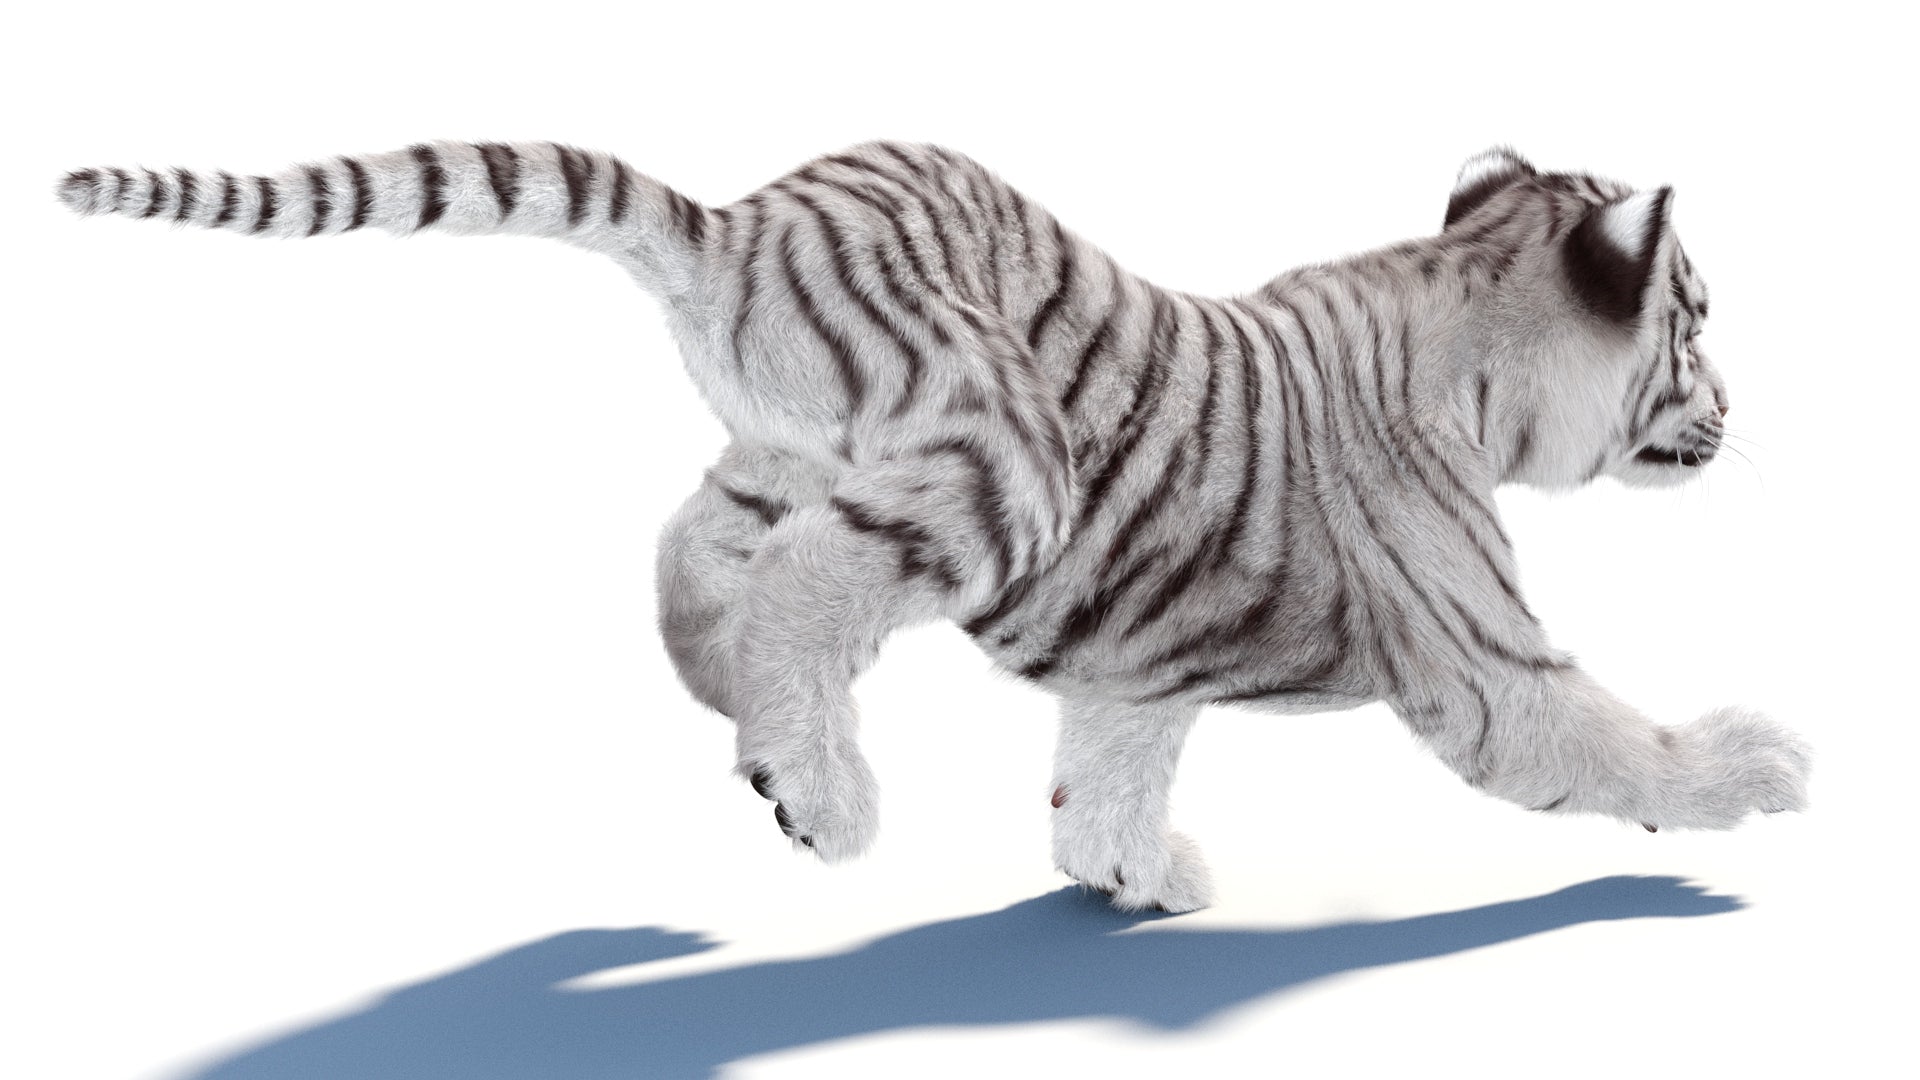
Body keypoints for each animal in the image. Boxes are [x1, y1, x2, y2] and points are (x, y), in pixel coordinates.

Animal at [57, 141, 1810, 912]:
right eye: (1698, 322)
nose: (1735, 407)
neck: (1469, 347)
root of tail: (745, 218)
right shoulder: (1481, 654)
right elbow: (1605, 738)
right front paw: (1754, 771)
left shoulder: (1135, 663)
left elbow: (1112, 763)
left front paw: (1130, 872)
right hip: (1000, 458)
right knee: (805, 587)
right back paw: (818, 791)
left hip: (790, 448)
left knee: (692, 549)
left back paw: (732, 706)